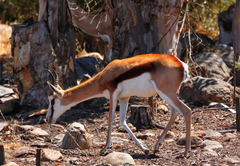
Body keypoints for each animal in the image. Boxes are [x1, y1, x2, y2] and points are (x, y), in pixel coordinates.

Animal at [46, 53, 191, 156]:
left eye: (52, 100)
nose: (47, 119)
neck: (105, 75)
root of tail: (181, 64)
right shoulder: (124, 98)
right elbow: (122, 121)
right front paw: (144, 149)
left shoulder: (112, 94)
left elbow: (110, 119)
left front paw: (104, 149)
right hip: (166, 95)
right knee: (175, 112)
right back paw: (156, 147)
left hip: (167, 93)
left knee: (186, 110)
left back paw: (186, 152)